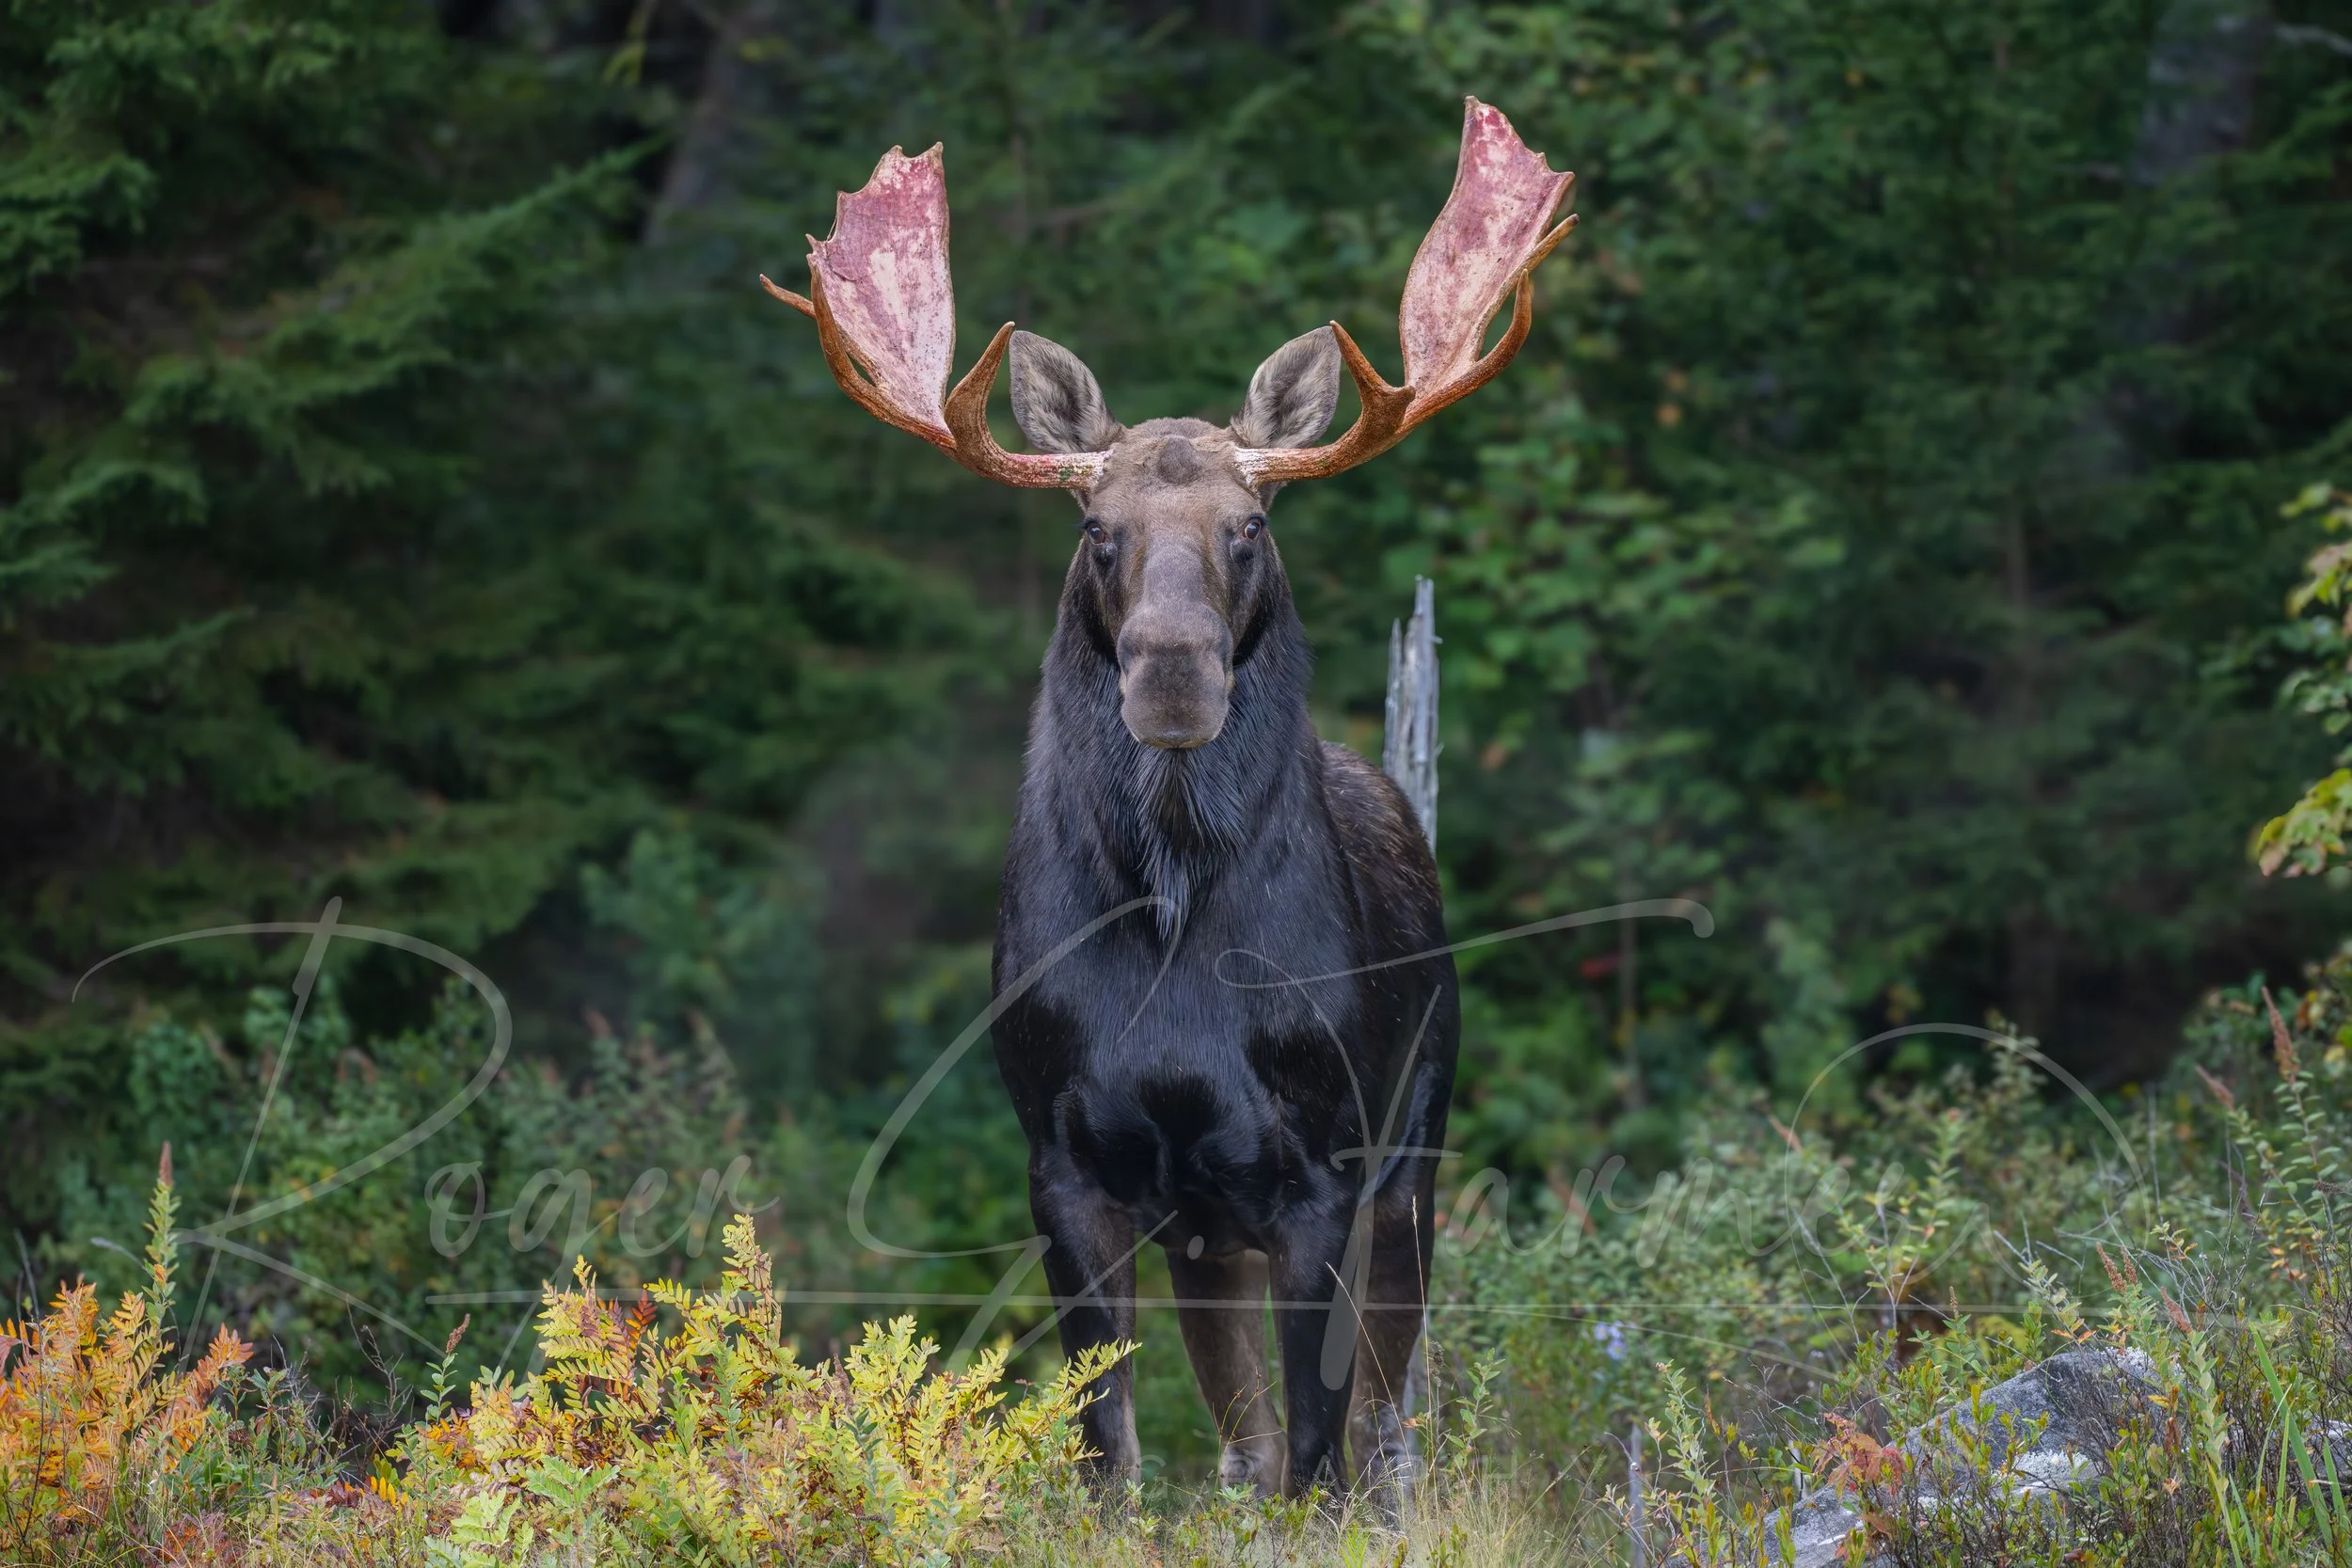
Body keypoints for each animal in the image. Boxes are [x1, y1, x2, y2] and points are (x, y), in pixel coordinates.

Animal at [765, 99, 1574, 1502]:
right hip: (1209, 1227)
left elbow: (1320, 1445)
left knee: (1385, 1419)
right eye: (1098, 528)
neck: (1175, 945)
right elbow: (1115, 1446)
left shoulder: (1319, 1165)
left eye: (1251, 524)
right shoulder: (1065, 1161)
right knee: (1242, 1426)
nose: (1174, 669)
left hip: (1416, 1141)